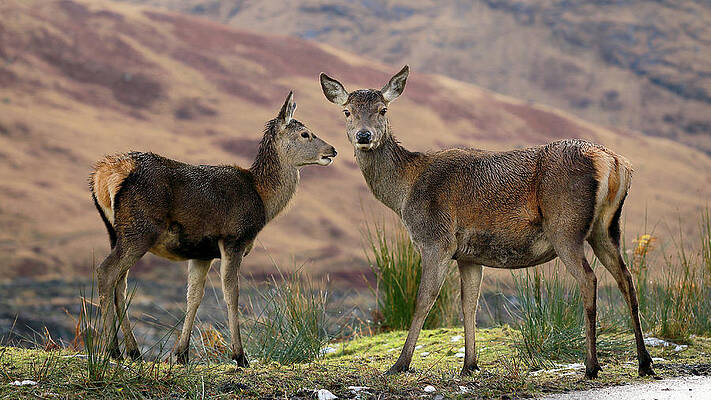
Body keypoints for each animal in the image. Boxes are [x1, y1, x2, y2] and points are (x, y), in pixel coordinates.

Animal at [89, 91, 337, 365]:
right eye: (305, 133)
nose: (332, 150)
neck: (262, 199)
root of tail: (104, 174)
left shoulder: (201, 252)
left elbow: (193, 297)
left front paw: (181, 354)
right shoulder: (233, 238)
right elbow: (232, 294)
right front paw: (240, 355)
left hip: (115, 232)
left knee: (120, 283)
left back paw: (133, 351)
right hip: (139, 229)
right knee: (106, 272)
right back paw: (113, 349)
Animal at [320, 66, 654, 379]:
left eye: (383, 110)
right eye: (347, 112)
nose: (364, 136)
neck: (405, 192)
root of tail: (614, 163)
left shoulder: (436, 240)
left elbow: (423, 301)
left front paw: (400, 364)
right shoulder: (469, 255)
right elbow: (469, 304)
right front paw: (469, 365)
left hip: (566, 227)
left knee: (589, 280)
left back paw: (592, 365)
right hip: (606, 228)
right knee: (627, 279)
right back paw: (644, 362)